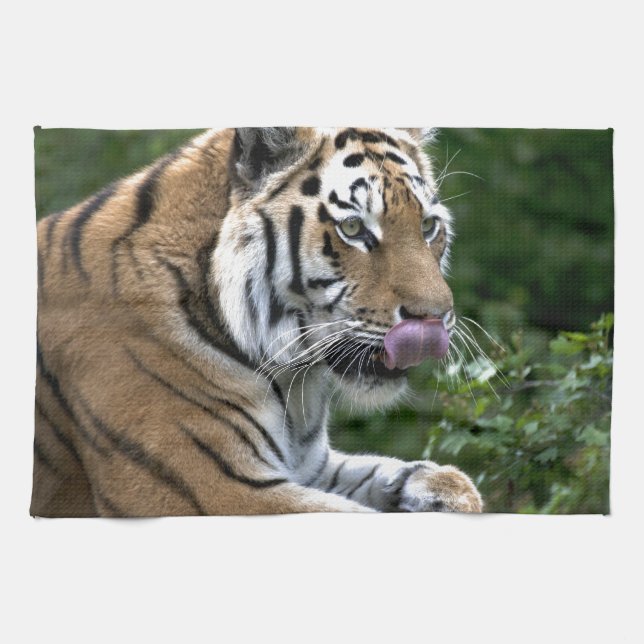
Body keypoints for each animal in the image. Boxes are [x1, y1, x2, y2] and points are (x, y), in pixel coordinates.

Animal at [32, 127, 483, 517]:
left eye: (428, 226)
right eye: (353, 228)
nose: (435, 317)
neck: (293, 381)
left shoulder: (310, 465)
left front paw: (448, 490)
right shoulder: (211, 487)